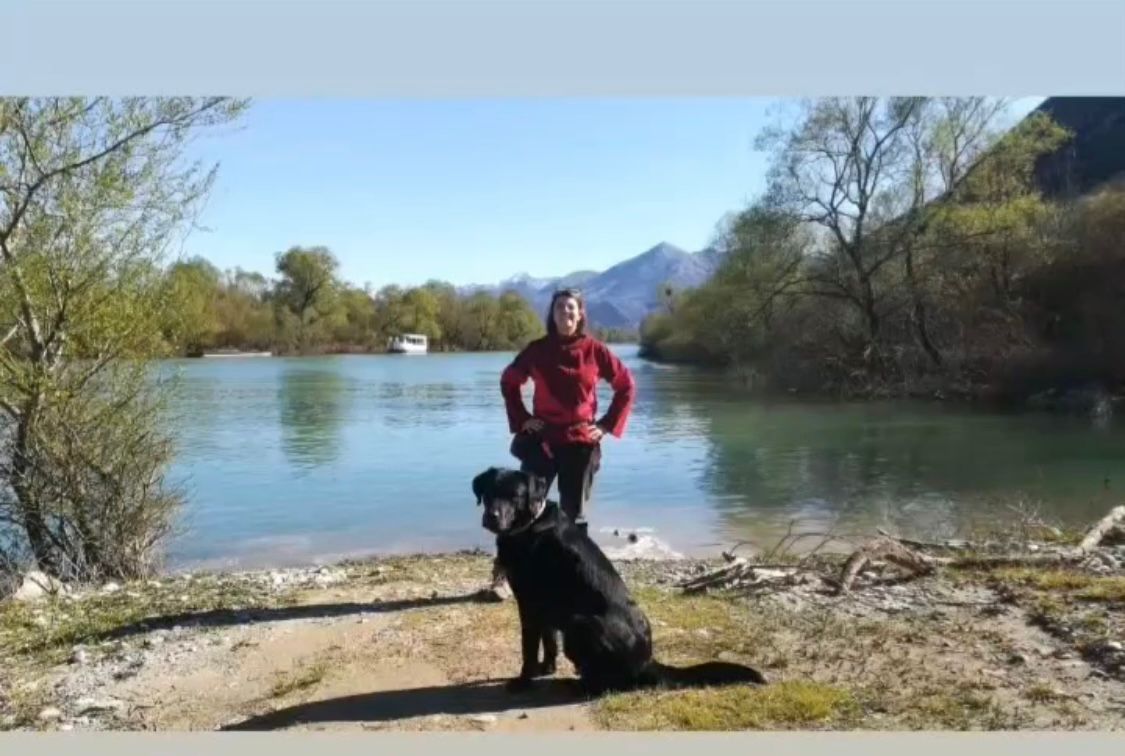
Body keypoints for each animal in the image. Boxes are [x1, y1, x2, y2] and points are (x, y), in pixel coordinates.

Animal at [472, 466, 767, 696]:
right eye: (488, 494)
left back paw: (578, 685)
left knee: (609, 685)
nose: (491, 517)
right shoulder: (543, 606)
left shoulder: (529, 604)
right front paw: (547, 669)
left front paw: (524, 681)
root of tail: (648, 662)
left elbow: (529, 649)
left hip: (580, 624)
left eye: (515, 496)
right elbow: (549, 642)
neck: (530, 525)